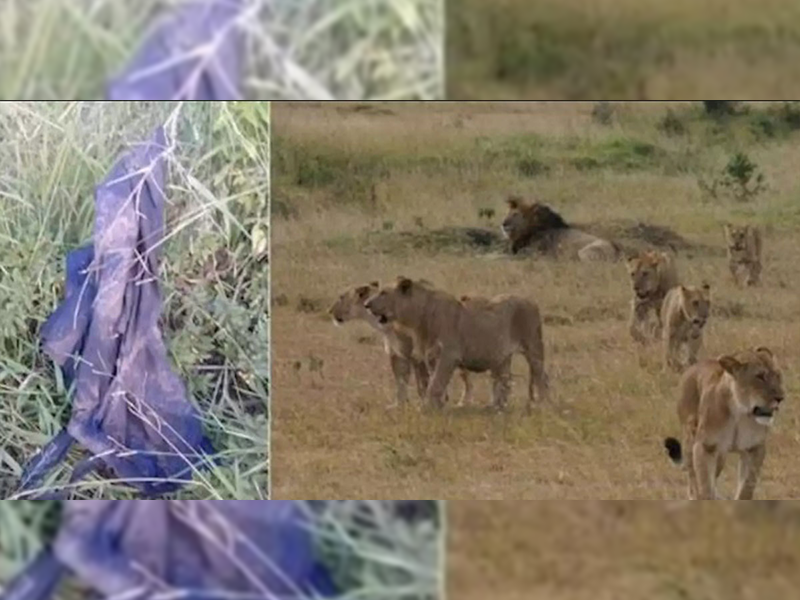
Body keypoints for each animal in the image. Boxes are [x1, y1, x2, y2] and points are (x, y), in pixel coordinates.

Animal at [328, 281, 473, 407]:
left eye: (341, 297)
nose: (329, 311)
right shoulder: (397, 353)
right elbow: (401, 380)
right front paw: (399, 404)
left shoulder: (417, 355)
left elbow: (423, 383)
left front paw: (424, 402)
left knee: (468, 381)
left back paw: (463, 403)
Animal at [364, 277, 549, 412]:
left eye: (383, 293)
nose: (366, 304)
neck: (419, 316)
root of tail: (531, 301)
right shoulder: (431, 355)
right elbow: (434, 382)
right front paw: (438, 405)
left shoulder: (448, 354)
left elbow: (435, 383)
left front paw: (427, 408)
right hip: (501, 357)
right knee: (504, 381)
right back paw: (495, 407)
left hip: (533, 347)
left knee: (541, 376)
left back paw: (542, 404)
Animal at [663, 347, 785, 500]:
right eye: (760, 376)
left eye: (778, 375)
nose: (780, 398)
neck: (740, 412)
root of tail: (692, 367)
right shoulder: (705, 447)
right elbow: (704, 485)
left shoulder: (755, 448)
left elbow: (747, 486)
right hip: (691, 439)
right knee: (692, 477)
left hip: (720, 455)